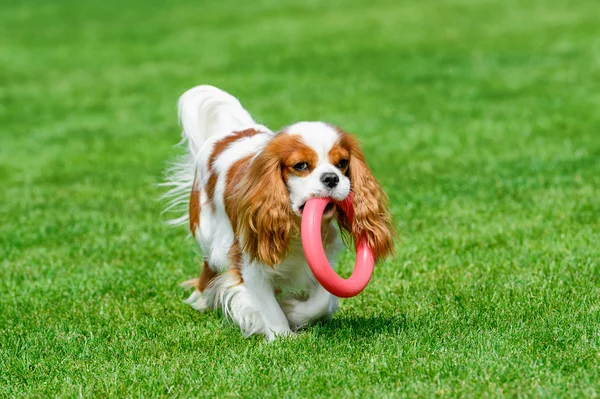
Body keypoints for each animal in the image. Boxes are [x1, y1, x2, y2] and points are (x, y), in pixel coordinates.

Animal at [163, 85, 394, 340]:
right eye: (301, 166)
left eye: (342, 163)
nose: (332, 178)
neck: (295, 225)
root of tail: (230, 134)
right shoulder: (250, 266)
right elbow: (268, 307)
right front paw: (282, 335)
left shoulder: (324, 259)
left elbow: (322, 301)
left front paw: (293, 310)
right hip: (207, 235)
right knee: (209, 266)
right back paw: (203, 298)